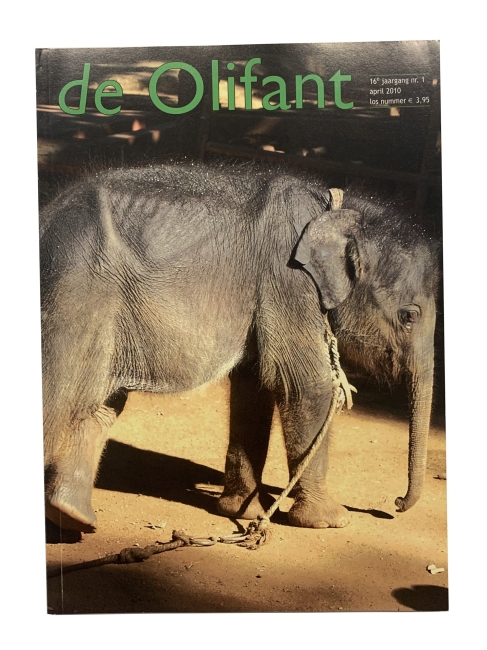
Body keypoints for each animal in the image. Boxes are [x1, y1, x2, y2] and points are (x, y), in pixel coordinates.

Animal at [40, 161, 438, 534]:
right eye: (409, 316)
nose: (395, 504)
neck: (339, 208)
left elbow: (254, 389)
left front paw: (242, 512)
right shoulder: (288, 281)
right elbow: (307, 386)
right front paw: (331, 521)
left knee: (100, 407)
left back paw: (73, 517)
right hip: (76, 289)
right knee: (60, 390)